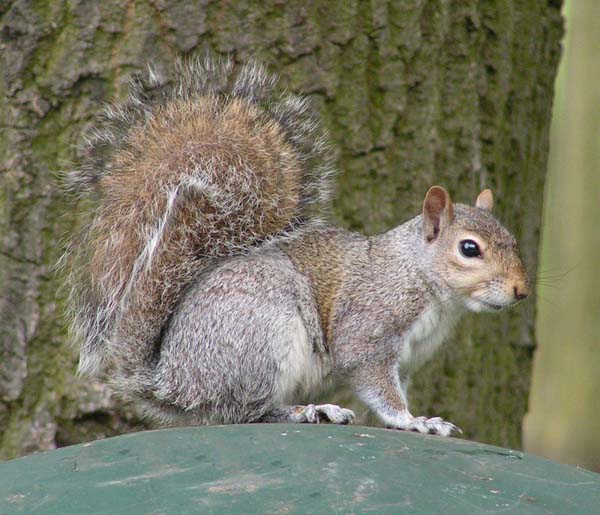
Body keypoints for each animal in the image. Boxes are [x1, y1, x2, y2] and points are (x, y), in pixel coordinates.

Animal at [63, 55, 528, 436]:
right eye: (470, 249)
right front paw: (415, 421)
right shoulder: (369, 330)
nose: (521, 290)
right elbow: (375, 383)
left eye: (513, 240)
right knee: (245, 411)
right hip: (263, 338)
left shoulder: (408, 362)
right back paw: (309, 411)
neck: (420, 276)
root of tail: (172, 380)